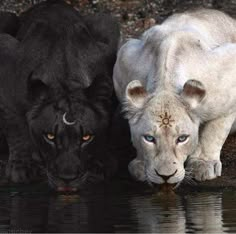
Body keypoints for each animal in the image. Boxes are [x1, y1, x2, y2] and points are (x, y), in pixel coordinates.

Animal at [0, 0, 120, 191]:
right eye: (50, 136)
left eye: (86, 137)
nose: (67, 178)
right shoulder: (5, 51)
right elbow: (14, 124)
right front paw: (22, 167)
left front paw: (100, 162)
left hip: (106, 20)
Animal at [113, 9, 236, 186]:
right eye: (149, 138)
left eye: (182, 138)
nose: (166, 176)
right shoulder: (125, 56)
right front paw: (141, 164)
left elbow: (214, 130)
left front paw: (203, 164)